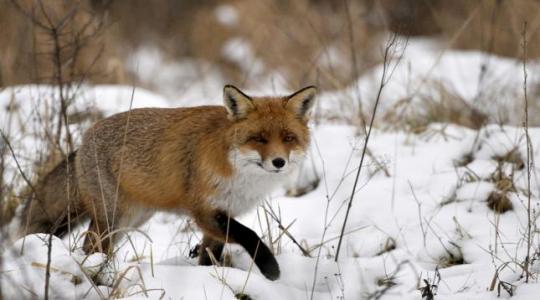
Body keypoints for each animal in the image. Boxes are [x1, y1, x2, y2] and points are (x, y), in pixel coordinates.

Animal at [17, 84, 316, 278]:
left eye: (288, 138)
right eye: (259, 139)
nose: (279, 162)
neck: (240, 174)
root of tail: (82, 142)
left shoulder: (222, 214)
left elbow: (210, 255)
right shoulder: (204, 211)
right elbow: (250, 234)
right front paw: (270, 268)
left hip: (132, 219)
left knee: (94, 246)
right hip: (112, 217)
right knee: (90, 246)